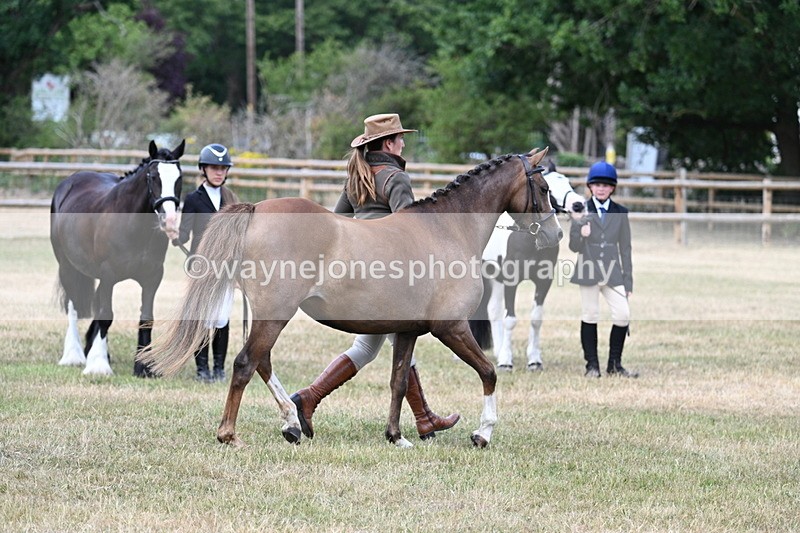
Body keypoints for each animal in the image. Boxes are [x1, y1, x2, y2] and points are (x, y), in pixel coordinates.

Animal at [50, 139, 185, 377]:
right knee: (72, 305)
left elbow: (146, 319)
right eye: (153, 176)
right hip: (67, 266)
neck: (132, 224)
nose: (168, 220)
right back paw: (74, 355)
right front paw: (98, 365)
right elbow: (106, 316)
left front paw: (143, 366)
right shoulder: (108, 275)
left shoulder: (152, 278)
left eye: (179, 178)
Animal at [141, 147, 561, 449]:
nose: (555, 235)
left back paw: (294, 422)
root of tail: (258, 209)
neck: (447, 229)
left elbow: (398, 381)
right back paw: (230, 434)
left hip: (271, 315)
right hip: (275, 314)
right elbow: (488, 372)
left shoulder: (407, 331)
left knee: (262, 362)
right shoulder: (451, 327)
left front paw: (397, 436)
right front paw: (483, 433)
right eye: (544, 189)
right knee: (246, 363)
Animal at [469, 166, 585, 371]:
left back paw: (499, 350)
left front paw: (534, 360)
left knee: (493, 309)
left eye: (568, 182)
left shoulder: (543, 282)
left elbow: (536, 319)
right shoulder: (511, 281)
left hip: (496, 278)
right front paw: (506, 362)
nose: (578, 205)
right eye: (547, 190)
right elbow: (510, 319)